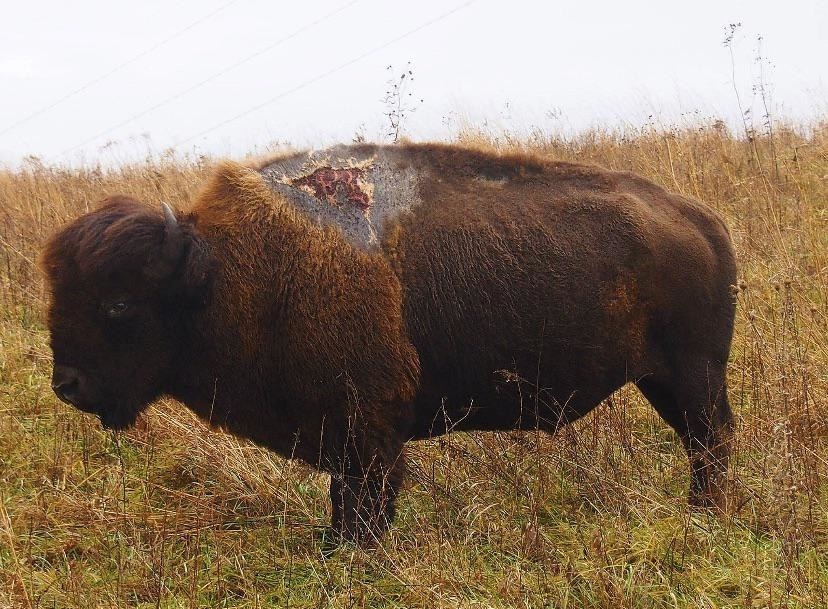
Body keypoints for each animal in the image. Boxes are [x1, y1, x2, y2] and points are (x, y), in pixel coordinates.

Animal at [42, 143, 736, 545]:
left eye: (119, 303)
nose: (67, 385)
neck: (221, 273)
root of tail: (698, 218)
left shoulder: (368, 434)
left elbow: (365, 504)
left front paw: (354, 556)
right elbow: (344, 502)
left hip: (692, 376)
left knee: (712, 440)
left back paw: (705, 516)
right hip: (663, 381)